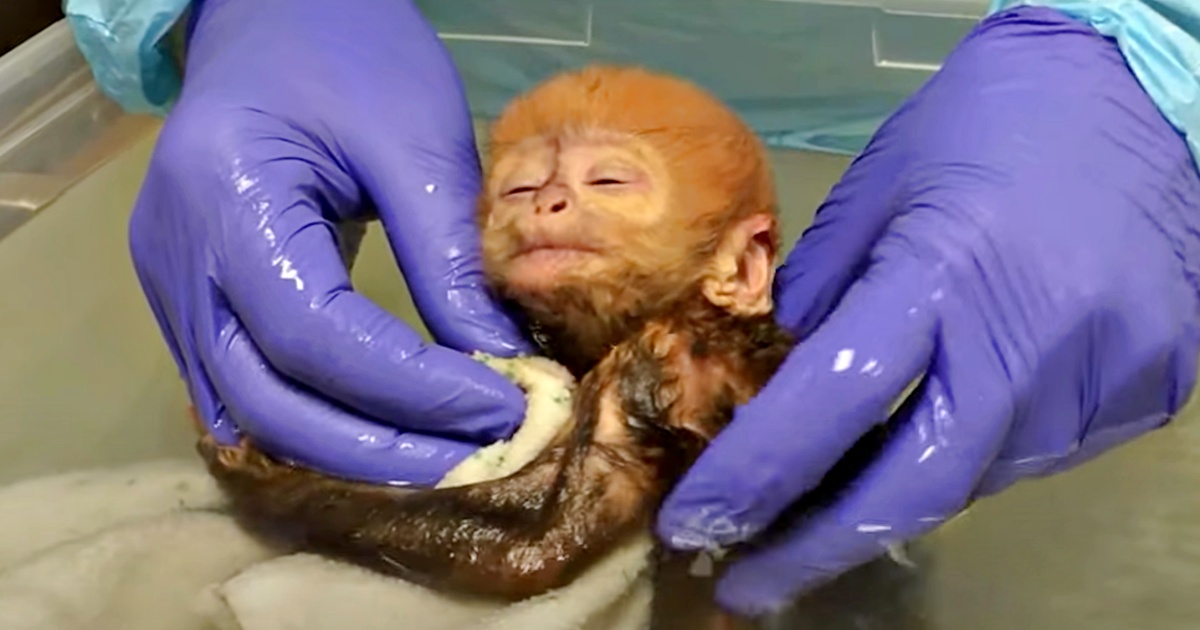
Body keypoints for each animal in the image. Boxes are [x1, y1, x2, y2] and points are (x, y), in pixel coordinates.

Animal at [196, 63, 796, 600]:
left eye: (609, 181)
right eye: (520, 187)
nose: (547, 200)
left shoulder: (666, 357)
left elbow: (532, 537)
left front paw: (252, 468)